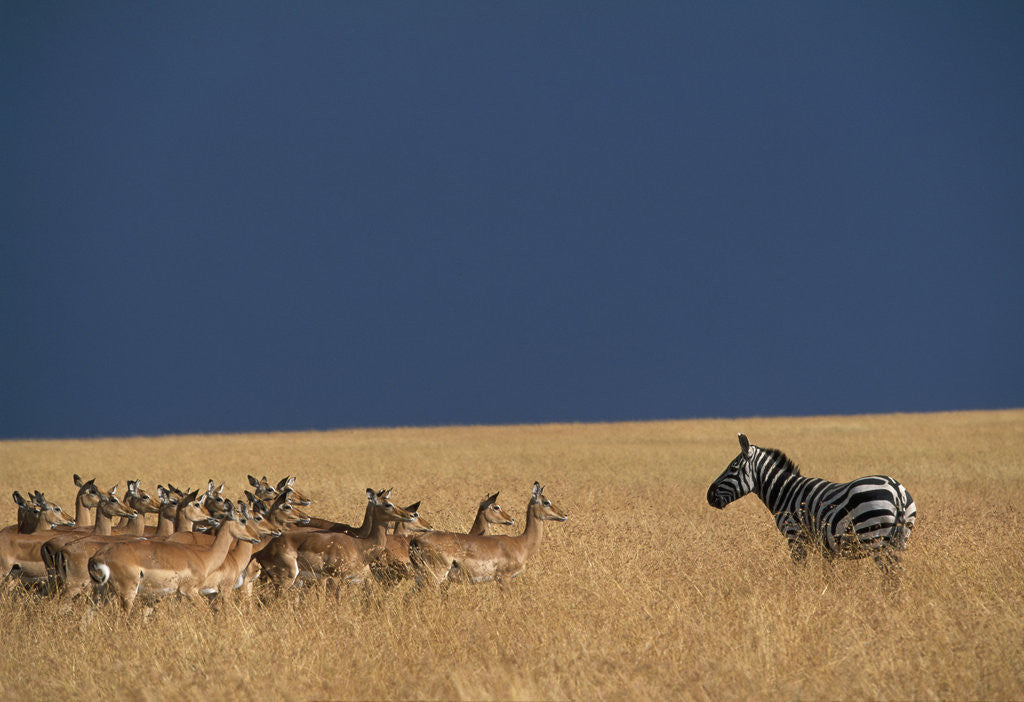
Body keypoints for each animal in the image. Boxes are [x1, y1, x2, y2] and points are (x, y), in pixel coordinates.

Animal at [88, 499, 260, 613]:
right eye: (243, 520)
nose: (256, 537)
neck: (205, 556)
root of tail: (98, 556)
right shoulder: (192, 591)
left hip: (103, 592)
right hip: (128, 592)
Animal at [255, 488, 413, 592]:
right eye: (388, 504)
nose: (410, 515)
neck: (359, 544)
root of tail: (263, 552)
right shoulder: (334, 578)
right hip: (287, 580)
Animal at [408, 482, 566, 588]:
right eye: (546, 502)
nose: (564, 515)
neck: (521, 543)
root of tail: (415, 540)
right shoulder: (504, 578)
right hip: (436, 575)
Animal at [707, 434, 916, 572]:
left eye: (733, 468)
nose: (709, 495)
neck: (785, 492)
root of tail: (896, 490)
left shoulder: (795, 536)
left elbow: (799, 569)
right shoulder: (827, 547)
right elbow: (830, 574)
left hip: (875, 537)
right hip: (900, 539)